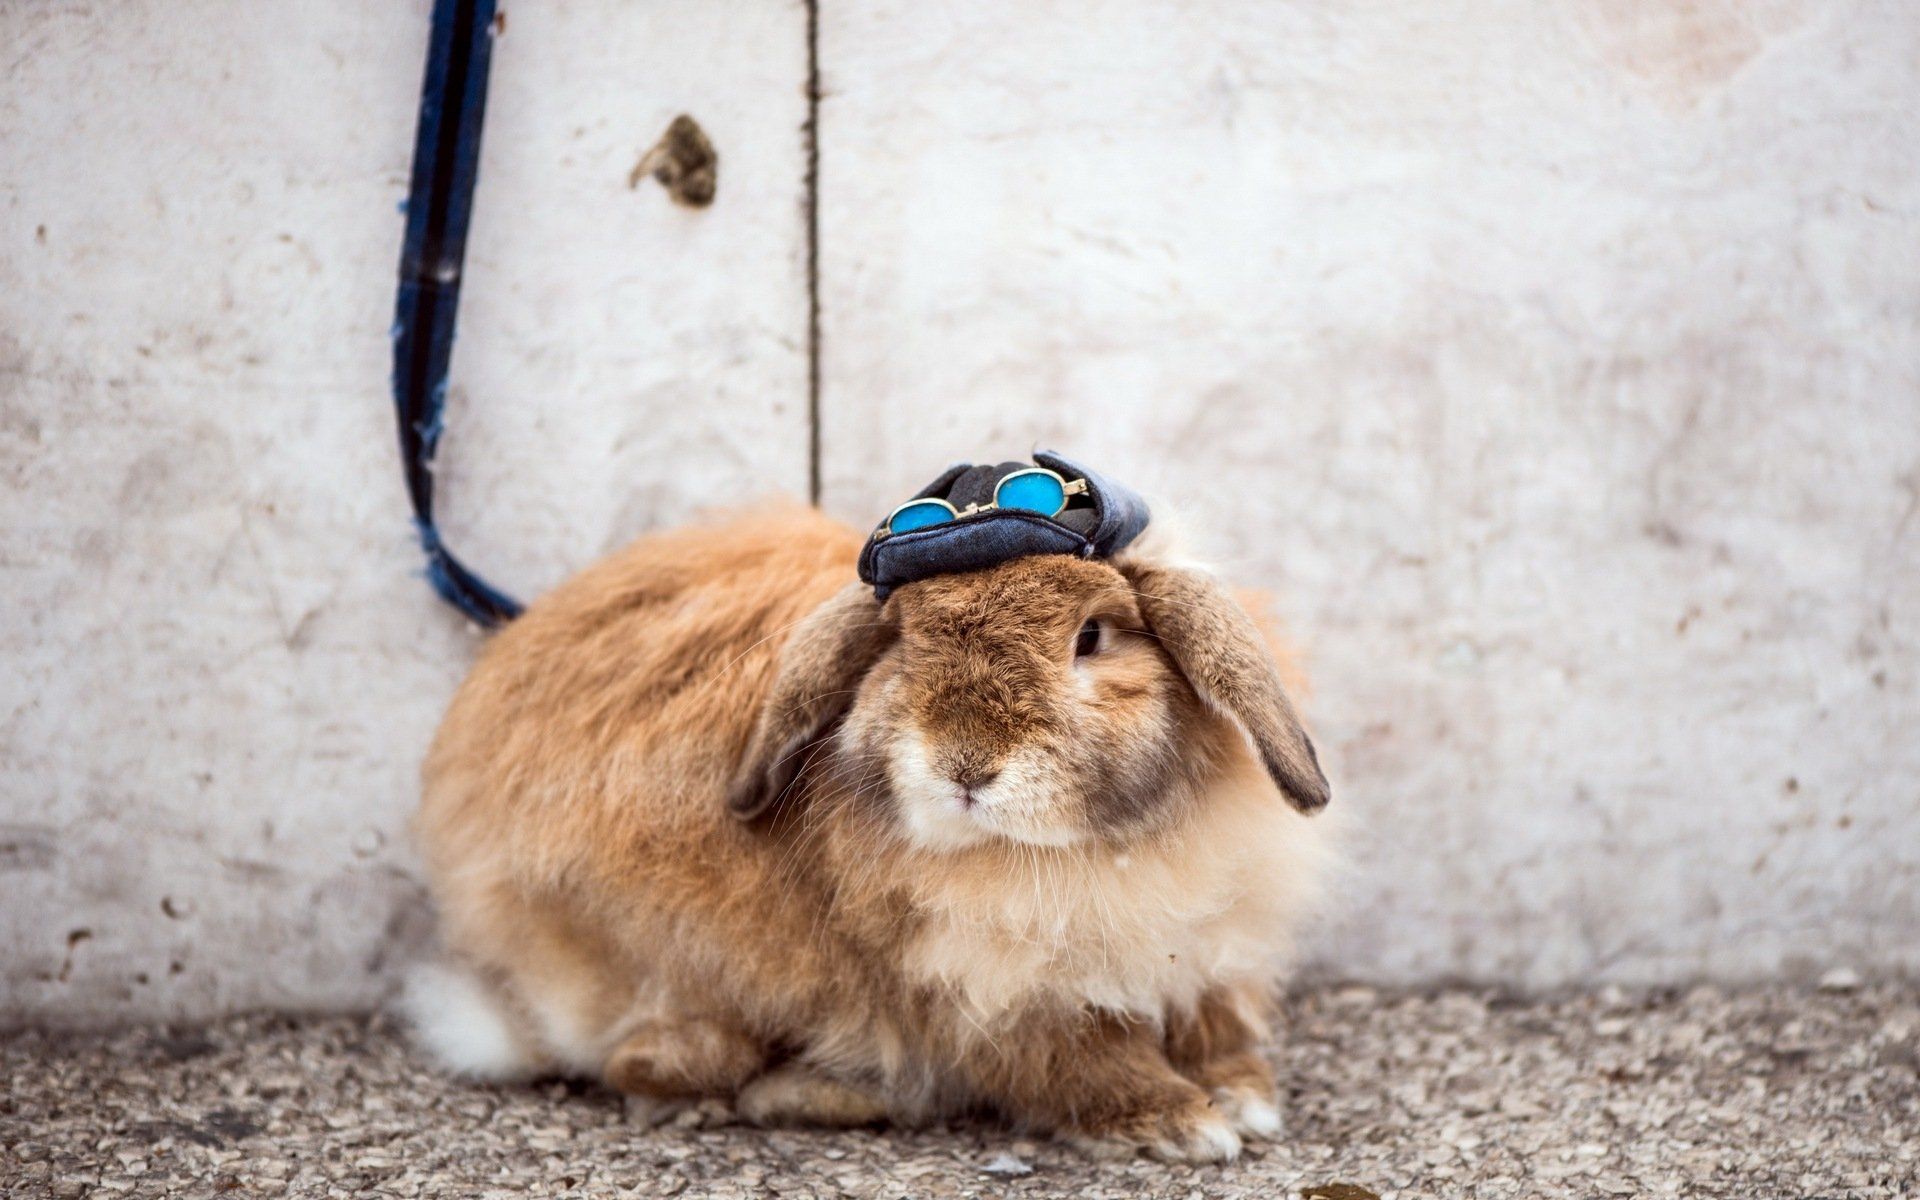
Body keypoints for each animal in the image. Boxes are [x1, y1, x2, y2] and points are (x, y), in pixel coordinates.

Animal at [406, 501, 1333, 1162]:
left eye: (1092, 637)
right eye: (903, 644)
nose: (965, 765)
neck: (1066, 853)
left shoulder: (1207, 953)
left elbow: (1218, 1027)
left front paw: (1244, 1096)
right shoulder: (996, 997)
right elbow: (1084, 1065)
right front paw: (1182, 1124)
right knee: (644, 1062)